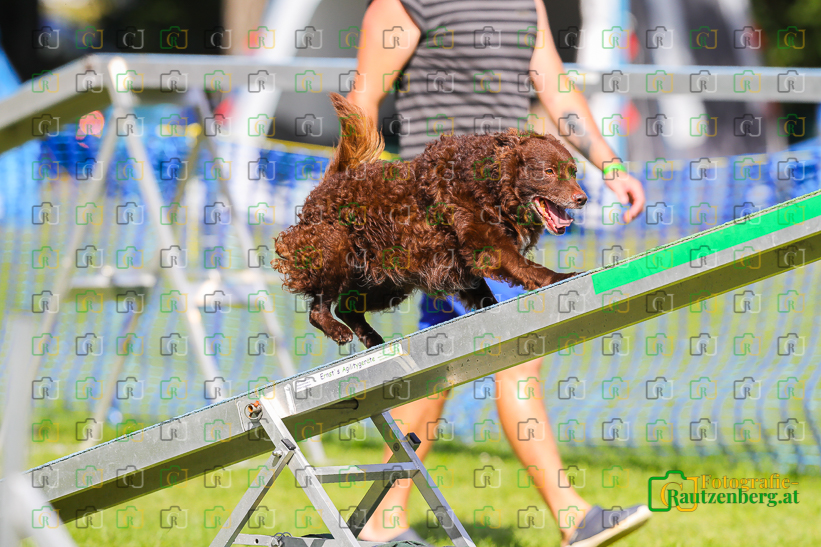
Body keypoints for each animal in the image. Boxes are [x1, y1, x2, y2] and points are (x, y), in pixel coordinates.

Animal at [273, 93, 587, 349]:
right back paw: (339, 331)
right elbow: (526, 268)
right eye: (549, 171)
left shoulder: (465, 266)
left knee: (347, 307)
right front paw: (560, 278)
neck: (492, 185)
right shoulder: (489, 247)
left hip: (388, 283)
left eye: (572, 171)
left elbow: (485, 295)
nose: (582, 198)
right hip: (335, 250)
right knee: (320, 308)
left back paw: (374, 340)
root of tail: (327, 183)